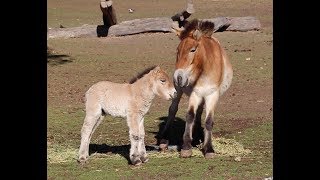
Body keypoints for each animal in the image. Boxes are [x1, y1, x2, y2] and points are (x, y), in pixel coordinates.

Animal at [159, 19, 232, 158]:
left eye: (192, 50)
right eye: (178, 50)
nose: (178, 77)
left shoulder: (212, 95)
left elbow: (208, 120)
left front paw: (208, 148)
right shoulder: (195, 94)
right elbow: (190, 116)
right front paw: (186, 147)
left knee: (200, 112)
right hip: (179, 90)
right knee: (173, 110)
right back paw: (164, 140)